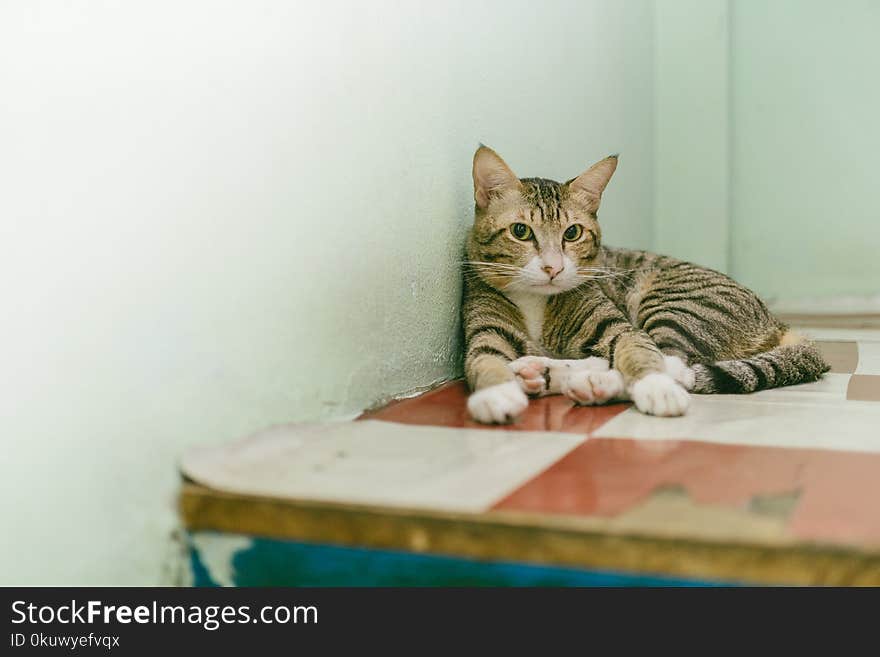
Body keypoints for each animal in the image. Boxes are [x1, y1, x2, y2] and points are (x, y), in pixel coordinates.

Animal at [464, 144, 828, 422]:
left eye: (573, 233)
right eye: (520, 231)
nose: (553, 267)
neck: (536, 302)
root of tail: (776, 321)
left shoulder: (619, 325)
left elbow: (639, 352)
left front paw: (655, 388)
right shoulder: (485, 330)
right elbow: (484, 359)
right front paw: (497, 394)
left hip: (674, 304)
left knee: (671, 360)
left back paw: (594, 383)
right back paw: (541, 372)